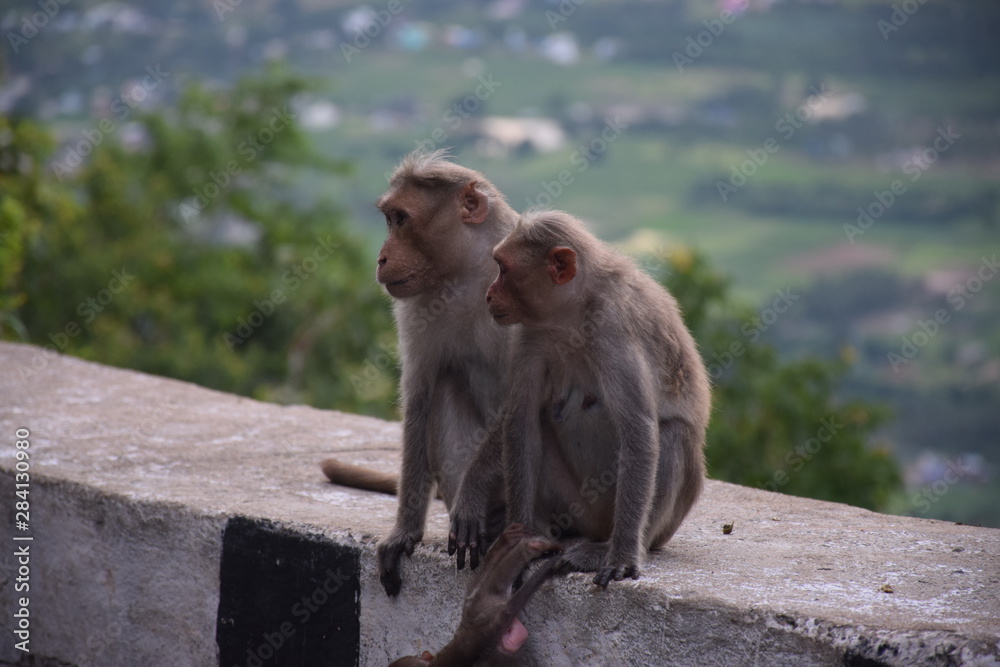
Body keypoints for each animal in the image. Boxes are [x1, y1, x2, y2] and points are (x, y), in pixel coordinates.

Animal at [322, 150, 519, 597]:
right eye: (389, 218)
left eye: (402, 218)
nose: (380, 258)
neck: (470, 273)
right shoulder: (417, 304)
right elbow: (420, 396)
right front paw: (404, 532)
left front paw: (472, 497)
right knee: (444, 387)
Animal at [388, 524, 561, 667]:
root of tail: (484, 633)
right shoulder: (479, 607)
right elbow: (471, 598)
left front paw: (502, 544)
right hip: (488, 609)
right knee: (490, 587)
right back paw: (531, 546)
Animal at [475, 209, 711, 589]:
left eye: (503, 269)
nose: (488, 294)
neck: (573, 312)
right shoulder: (531, 331)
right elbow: (522, 422)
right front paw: (518, 546)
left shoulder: (613, 327)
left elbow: (638, 430)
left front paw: (624, 556)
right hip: (577, 507)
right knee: (539, 423)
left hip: (652, 522)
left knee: (674, 435)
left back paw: (612, 547)